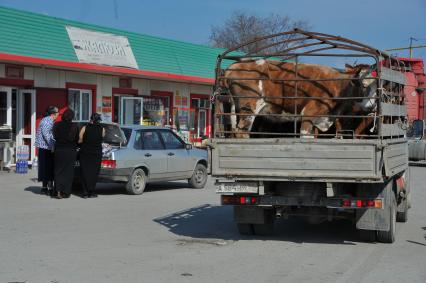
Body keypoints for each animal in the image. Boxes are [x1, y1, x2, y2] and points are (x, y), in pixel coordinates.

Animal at [221, 60, 374, 139]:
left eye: (375, 85)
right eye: (364, 85)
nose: (372, 107)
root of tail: (232, 66)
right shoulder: (308, 114)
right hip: (249, 107)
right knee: (242, 132)